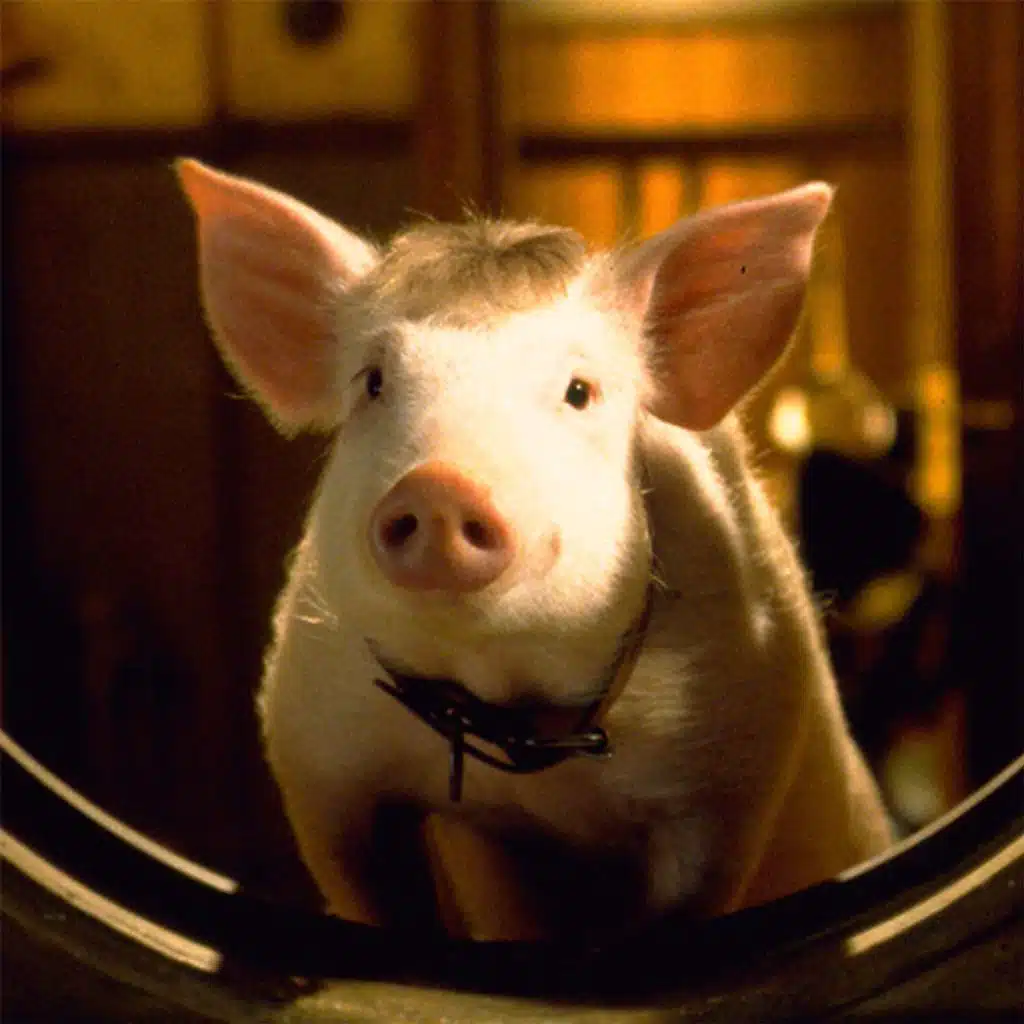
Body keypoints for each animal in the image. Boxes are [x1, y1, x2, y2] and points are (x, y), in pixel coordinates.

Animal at [176, 158, 893, 940]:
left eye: (579, 391)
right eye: (373, 382)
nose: (441, 484)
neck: (509, 711)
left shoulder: (731, 768)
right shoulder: (315, 751)